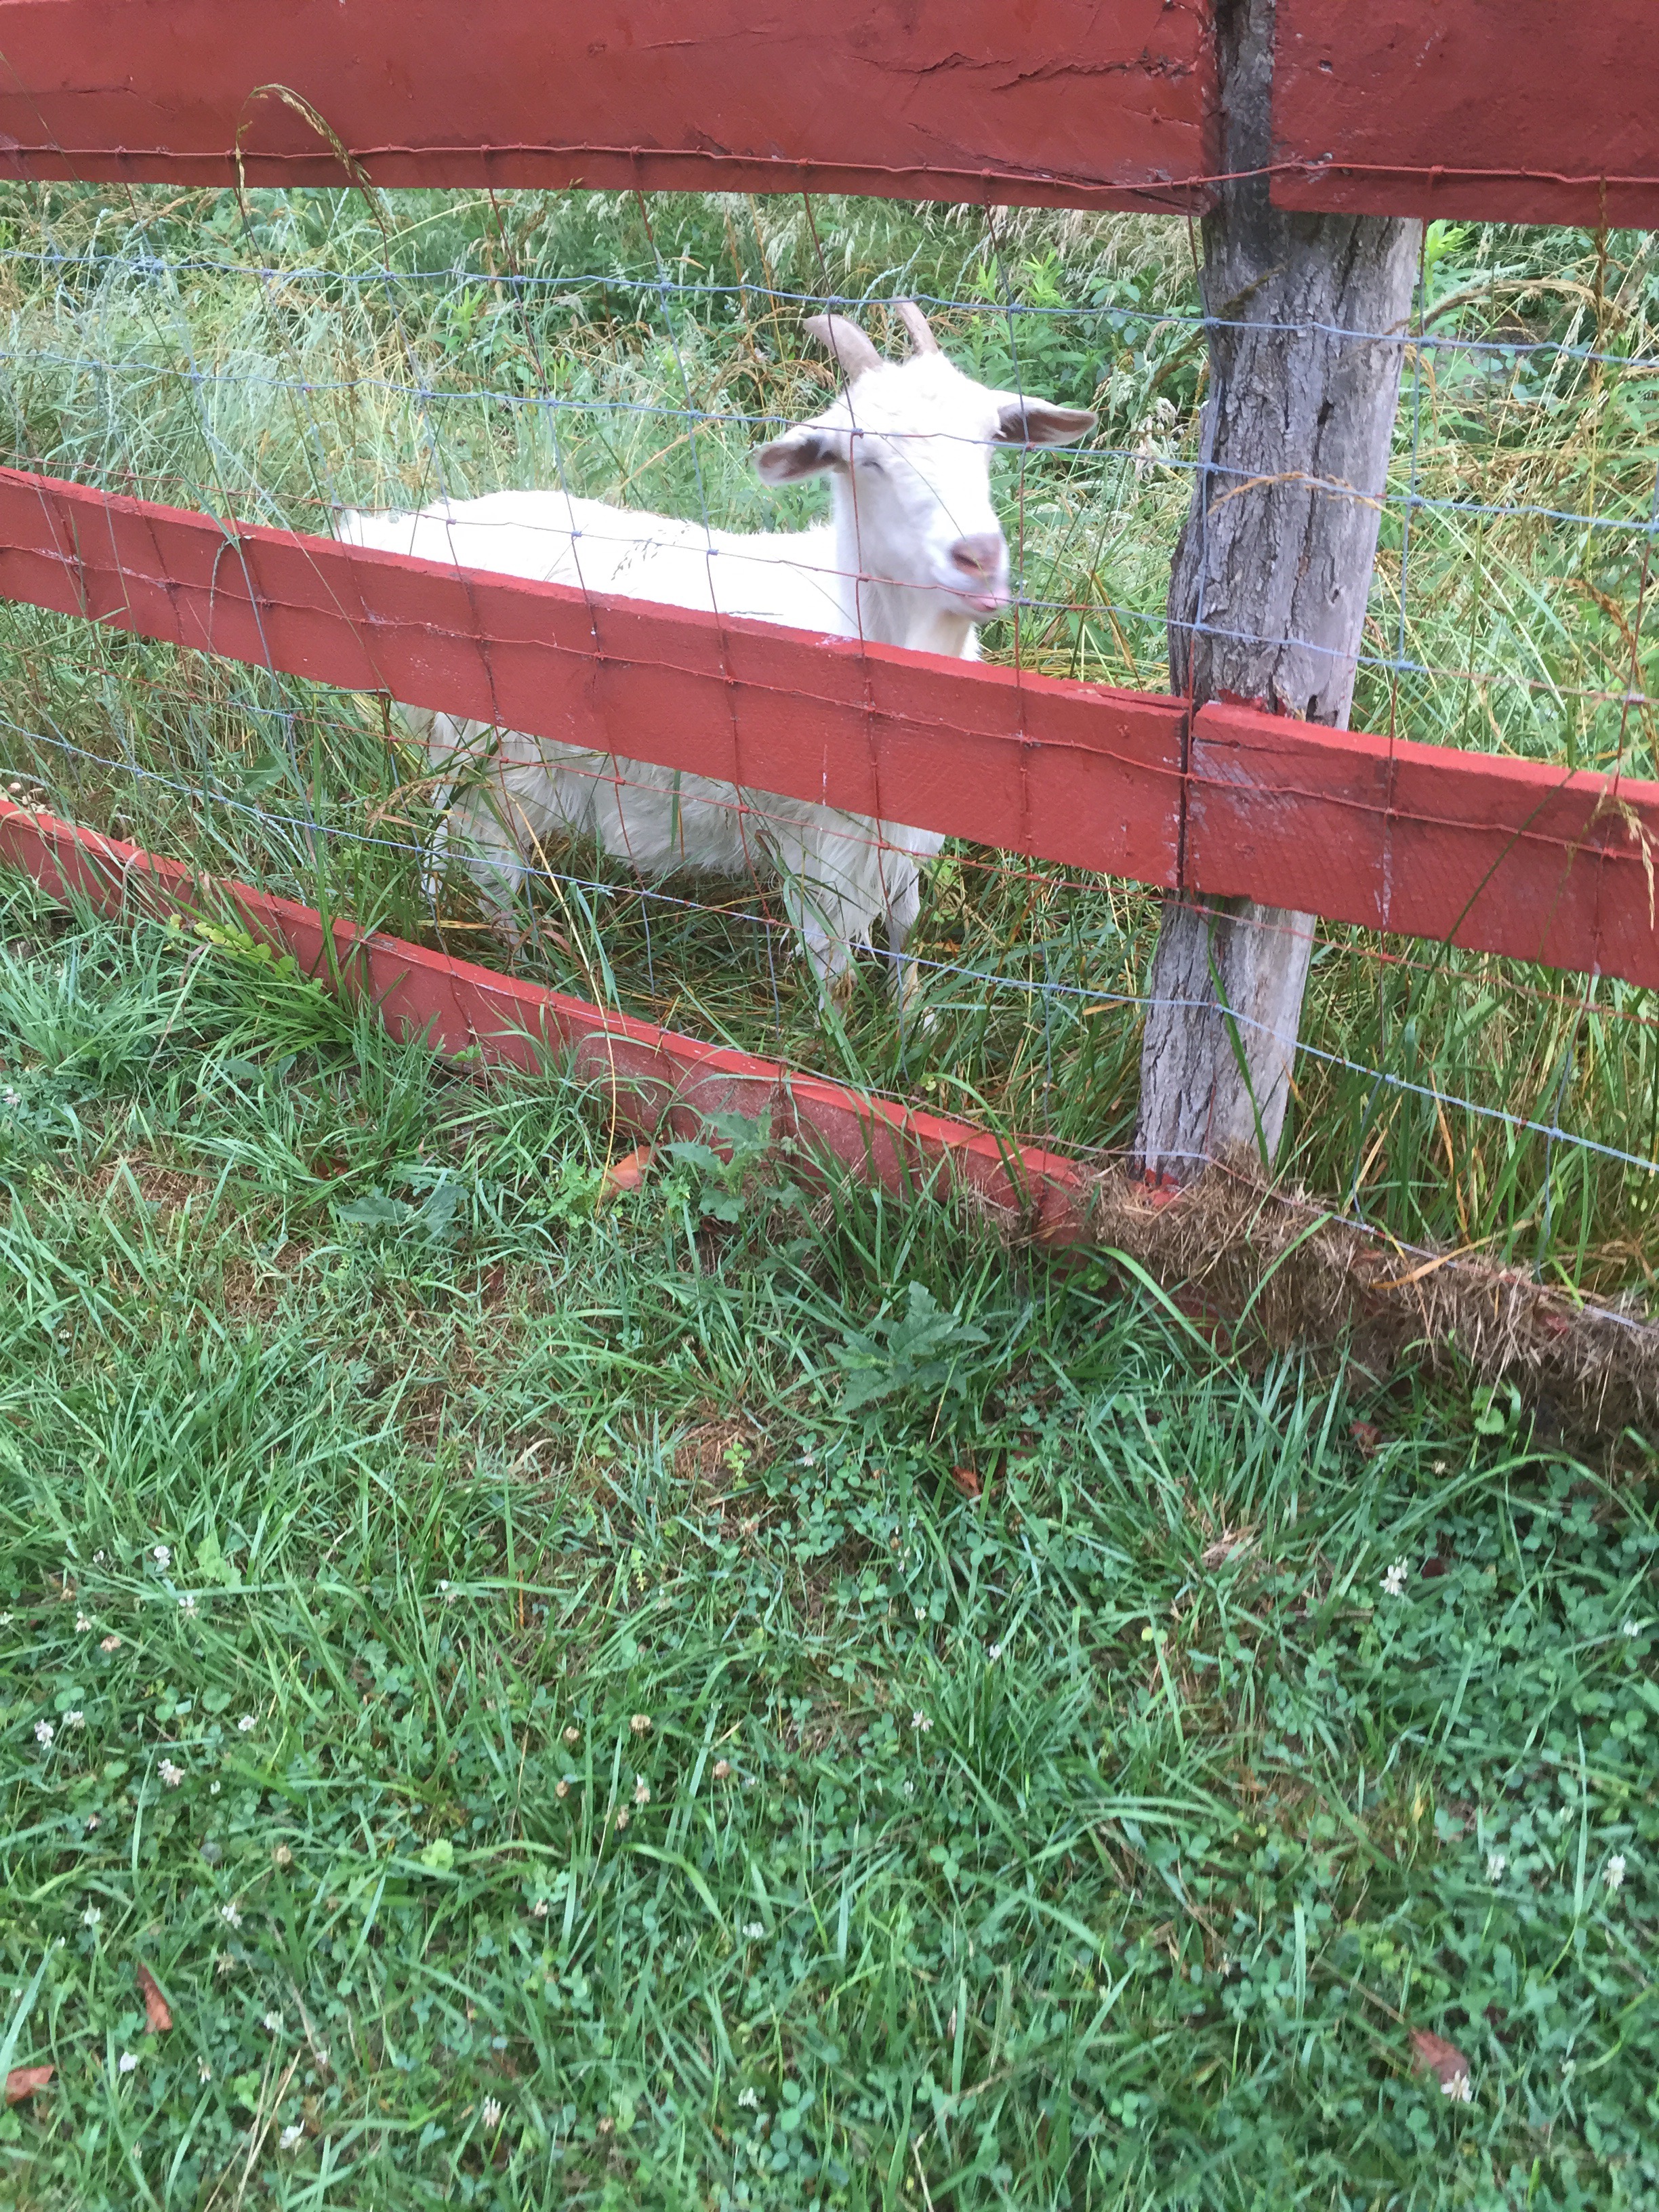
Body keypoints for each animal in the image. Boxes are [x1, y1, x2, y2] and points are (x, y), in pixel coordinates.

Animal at [336, 301, 1094, 1001]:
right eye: (864, 457)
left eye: (992, 440)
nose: (980, 558)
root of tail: (408, 532)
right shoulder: (817, 850)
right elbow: (836, 974)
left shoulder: (900, 833)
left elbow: (907, 927)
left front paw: (912, 1016)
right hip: (484, 756)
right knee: (480, 860)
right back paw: (509, 957)